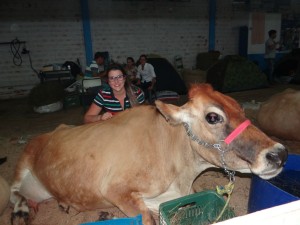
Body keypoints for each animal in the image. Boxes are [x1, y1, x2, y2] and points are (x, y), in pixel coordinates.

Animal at [10, 83, 288, 224]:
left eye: (240, 108)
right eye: (212, 117)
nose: (279, 154)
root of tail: (52, 130)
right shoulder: (114, 190)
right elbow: (146, 217)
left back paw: (62, 204)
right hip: (23, 163)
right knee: (13, 192)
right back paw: (23, 209)